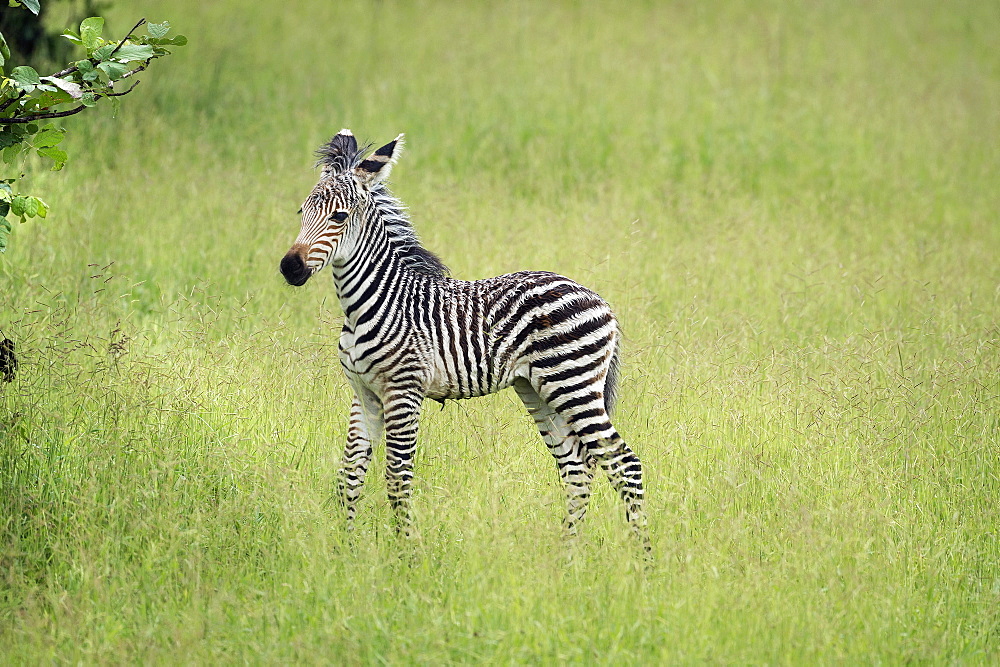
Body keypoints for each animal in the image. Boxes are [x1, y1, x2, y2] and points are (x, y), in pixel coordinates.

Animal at [282, 132, 648, 552]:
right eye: (301, 212)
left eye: (339, 218)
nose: (289, 267)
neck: (371, 302)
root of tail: (599, 299)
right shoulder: (364, 394)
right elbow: (349, 477)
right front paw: (347, 552)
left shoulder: (404, 391)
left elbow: (397, 478)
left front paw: (407, 555)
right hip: (540, 389)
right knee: (577, 470)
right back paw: (566, 558)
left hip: (574, 383)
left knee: (624, 463)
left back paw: (644, 560)